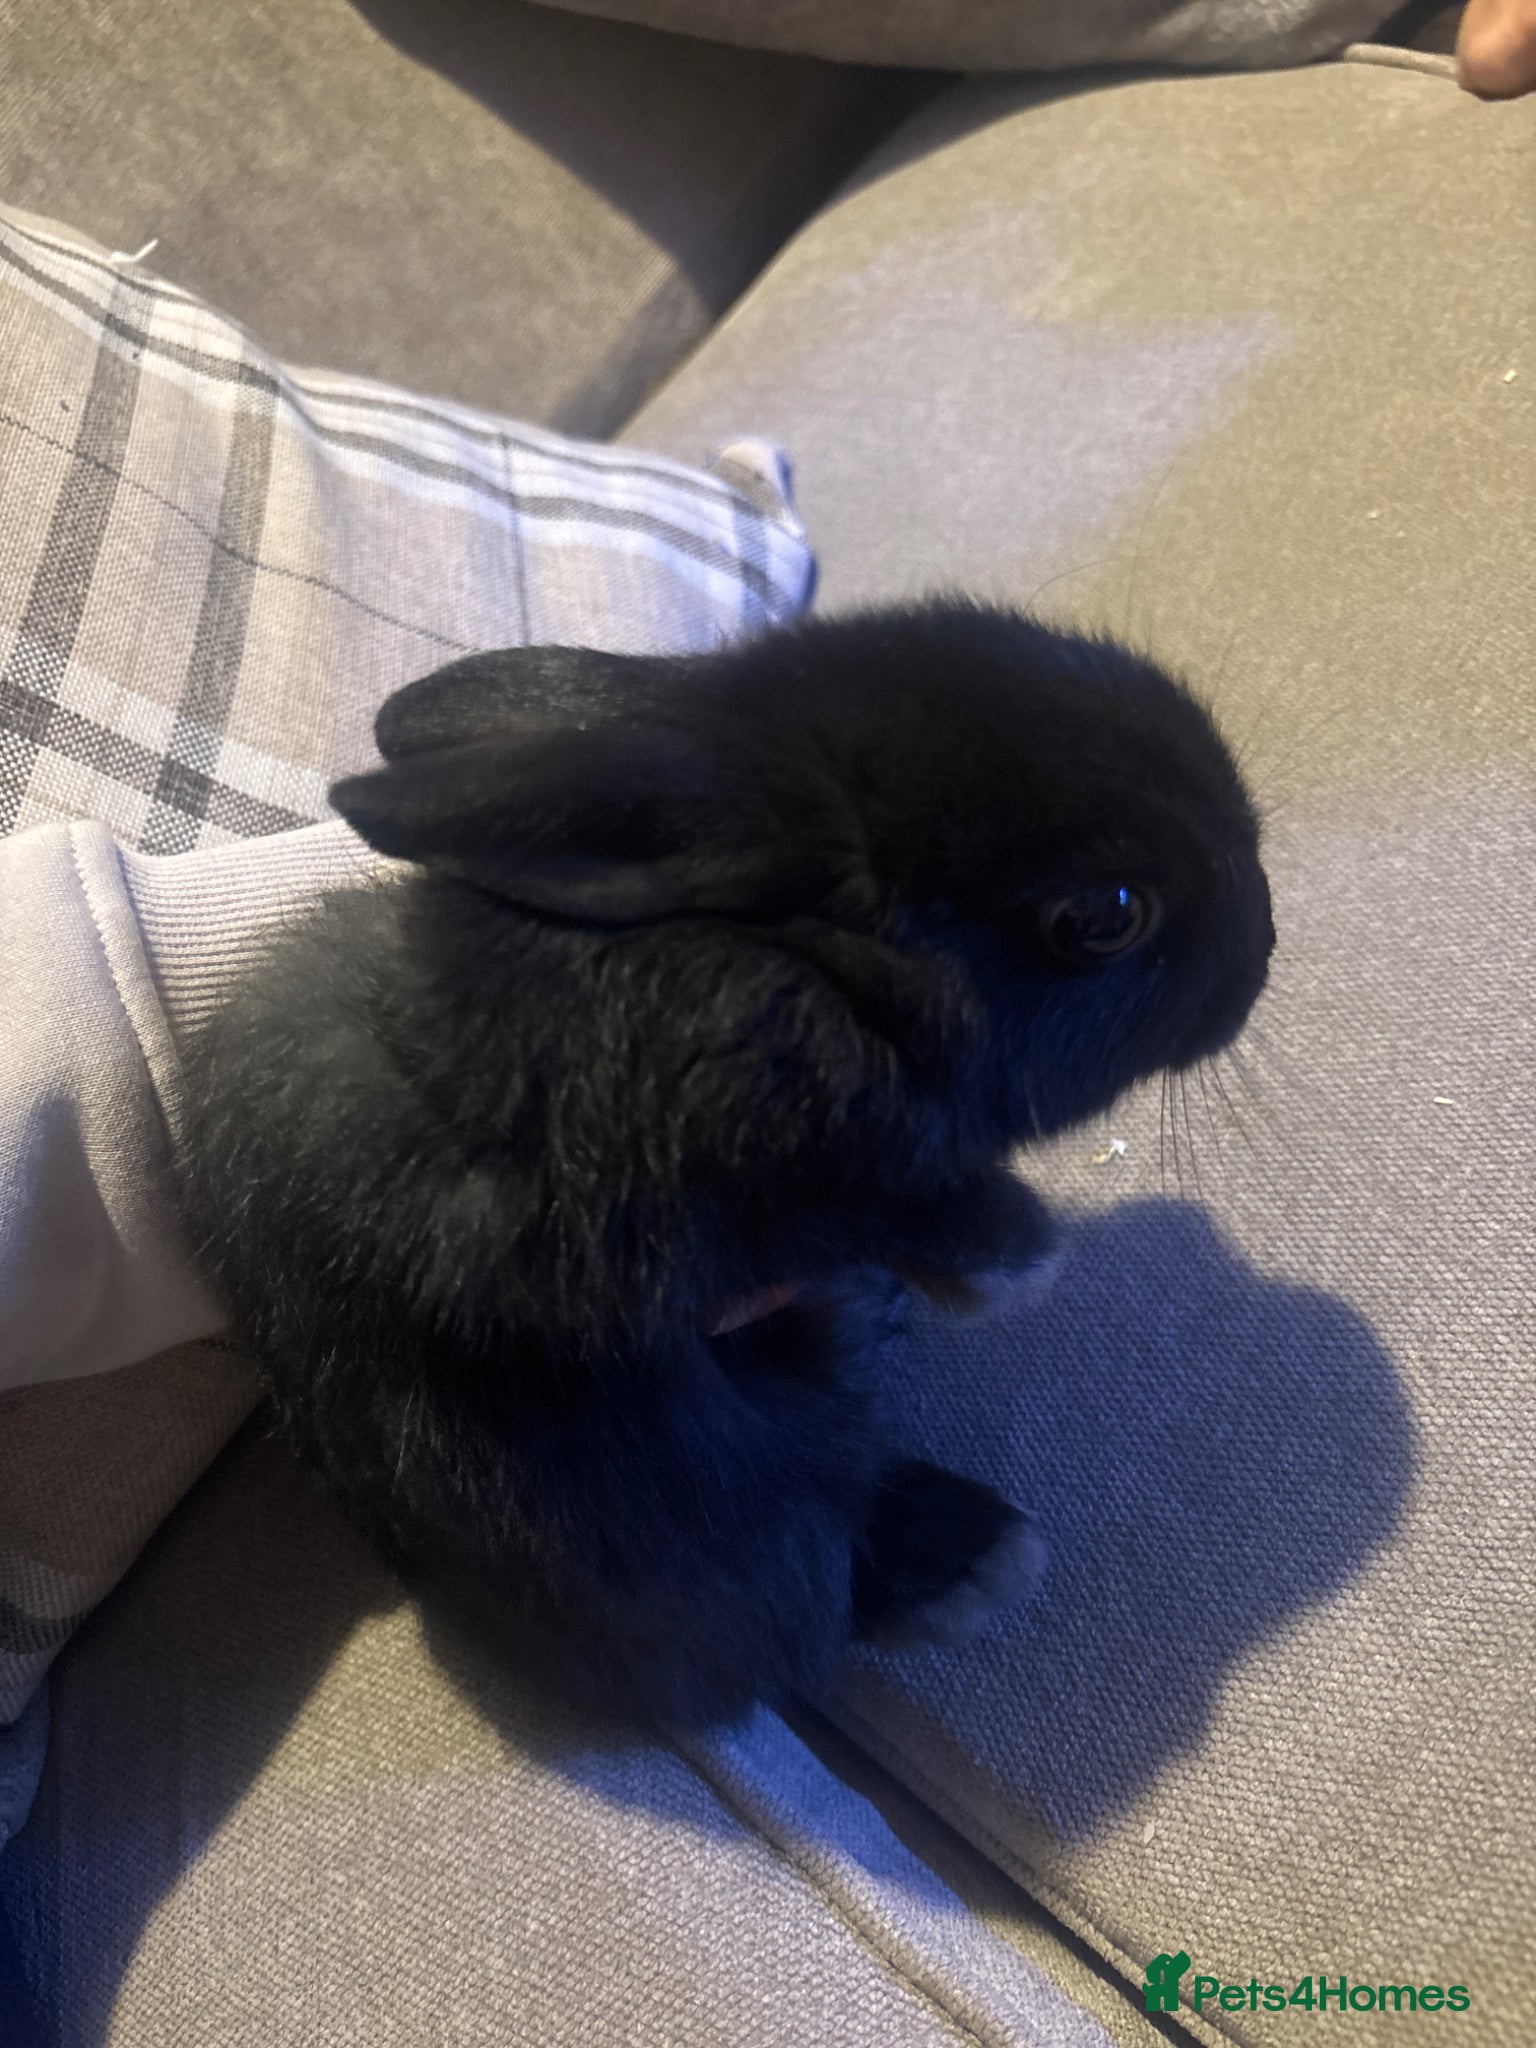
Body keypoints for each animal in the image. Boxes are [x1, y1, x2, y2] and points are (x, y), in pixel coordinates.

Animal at [177, 598, 1274, 1733]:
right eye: (1107, 916)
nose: (1266, 942)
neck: (808, 966)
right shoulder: (717, 1179)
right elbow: (883, 1202)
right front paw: (1016, 1260)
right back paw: (968, 1554)